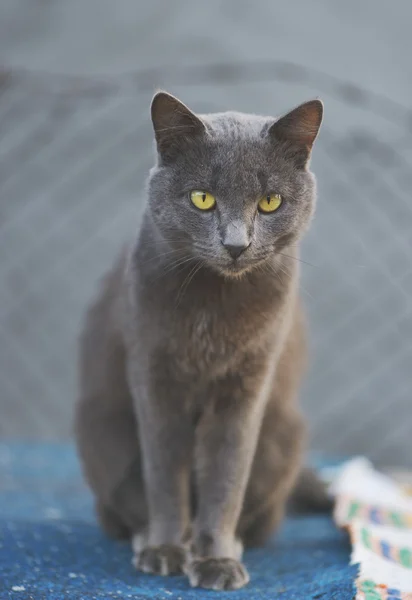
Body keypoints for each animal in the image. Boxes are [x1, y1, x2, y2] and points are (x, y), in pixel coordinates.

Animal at [75, 92, 326, 592]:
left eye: (270, 201)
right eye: (202, 198)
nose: (236, 244)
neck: (215, 306)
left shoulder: (246, 386)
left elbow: (226, 477)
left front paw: (216, 560)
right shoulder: (154, 377)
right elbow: (163, 474)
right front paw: (165, 550)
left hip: (282, 435)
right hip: (101, 431)